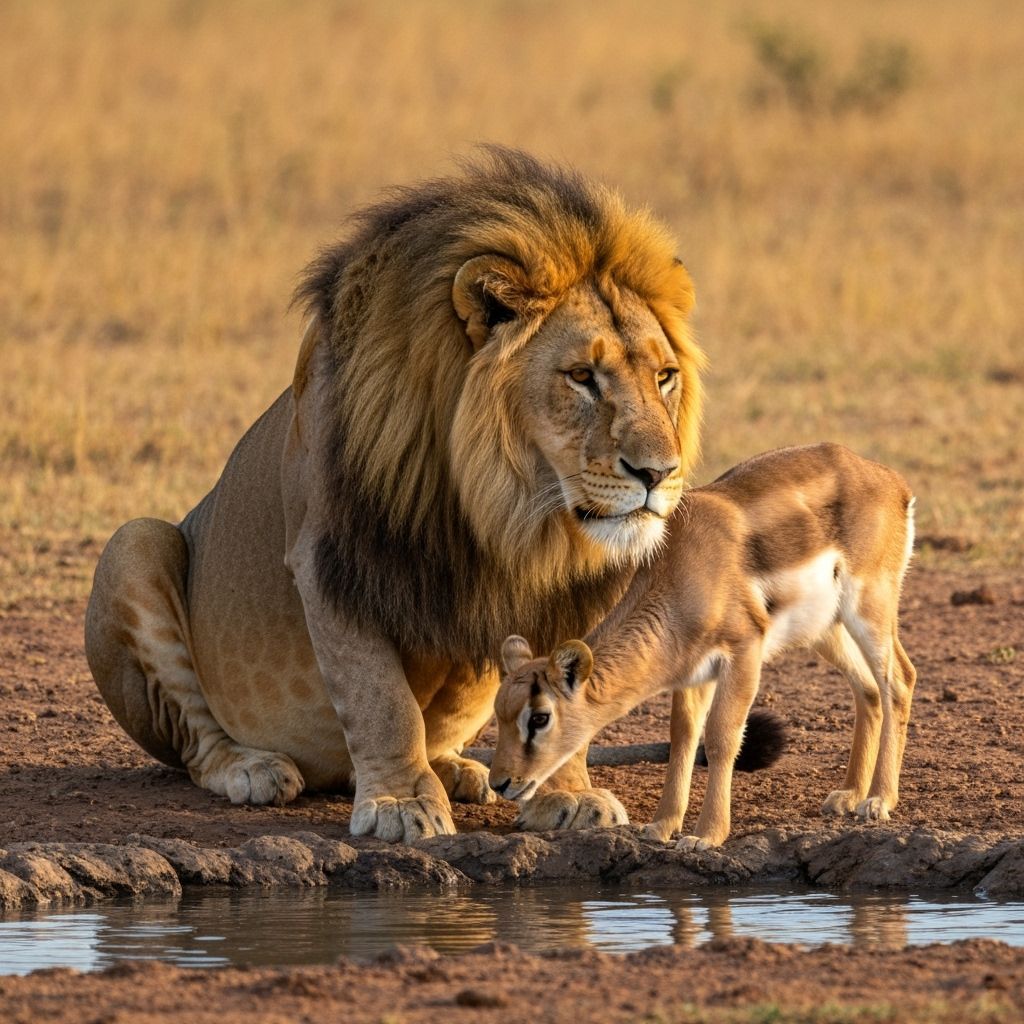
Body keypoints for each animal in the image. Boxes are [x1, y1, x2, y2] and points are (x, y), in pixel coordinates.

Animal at [84, 148, 705, 843]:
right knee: (195, 742)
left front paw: (566, 795)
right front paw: (402, 804)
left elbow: (565, 685)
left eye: (664, 377)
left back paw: (462, 770)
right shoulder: (336, 556)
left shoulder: (566, 583)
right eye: (581, 377)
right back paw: (251, 767)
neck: (506, 506)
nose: (660, 473)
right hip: (133, 542)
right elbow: (379, 698)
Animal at [491, 444, 916, 848]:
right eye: (499, 711)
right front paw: (662, 826)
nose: (501, 782)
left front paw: (706, 835)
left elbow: (720, 738)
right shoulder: (693, 673)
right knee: (868, 690)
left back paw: (878, 801)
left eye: (540, 717)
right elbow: (683, 737)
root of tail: (892, 481)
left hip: (869, 609)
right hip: (826, 630)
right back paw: (849, 795)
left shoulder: (743, 651)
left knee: (899, 680)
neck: (685, 566)